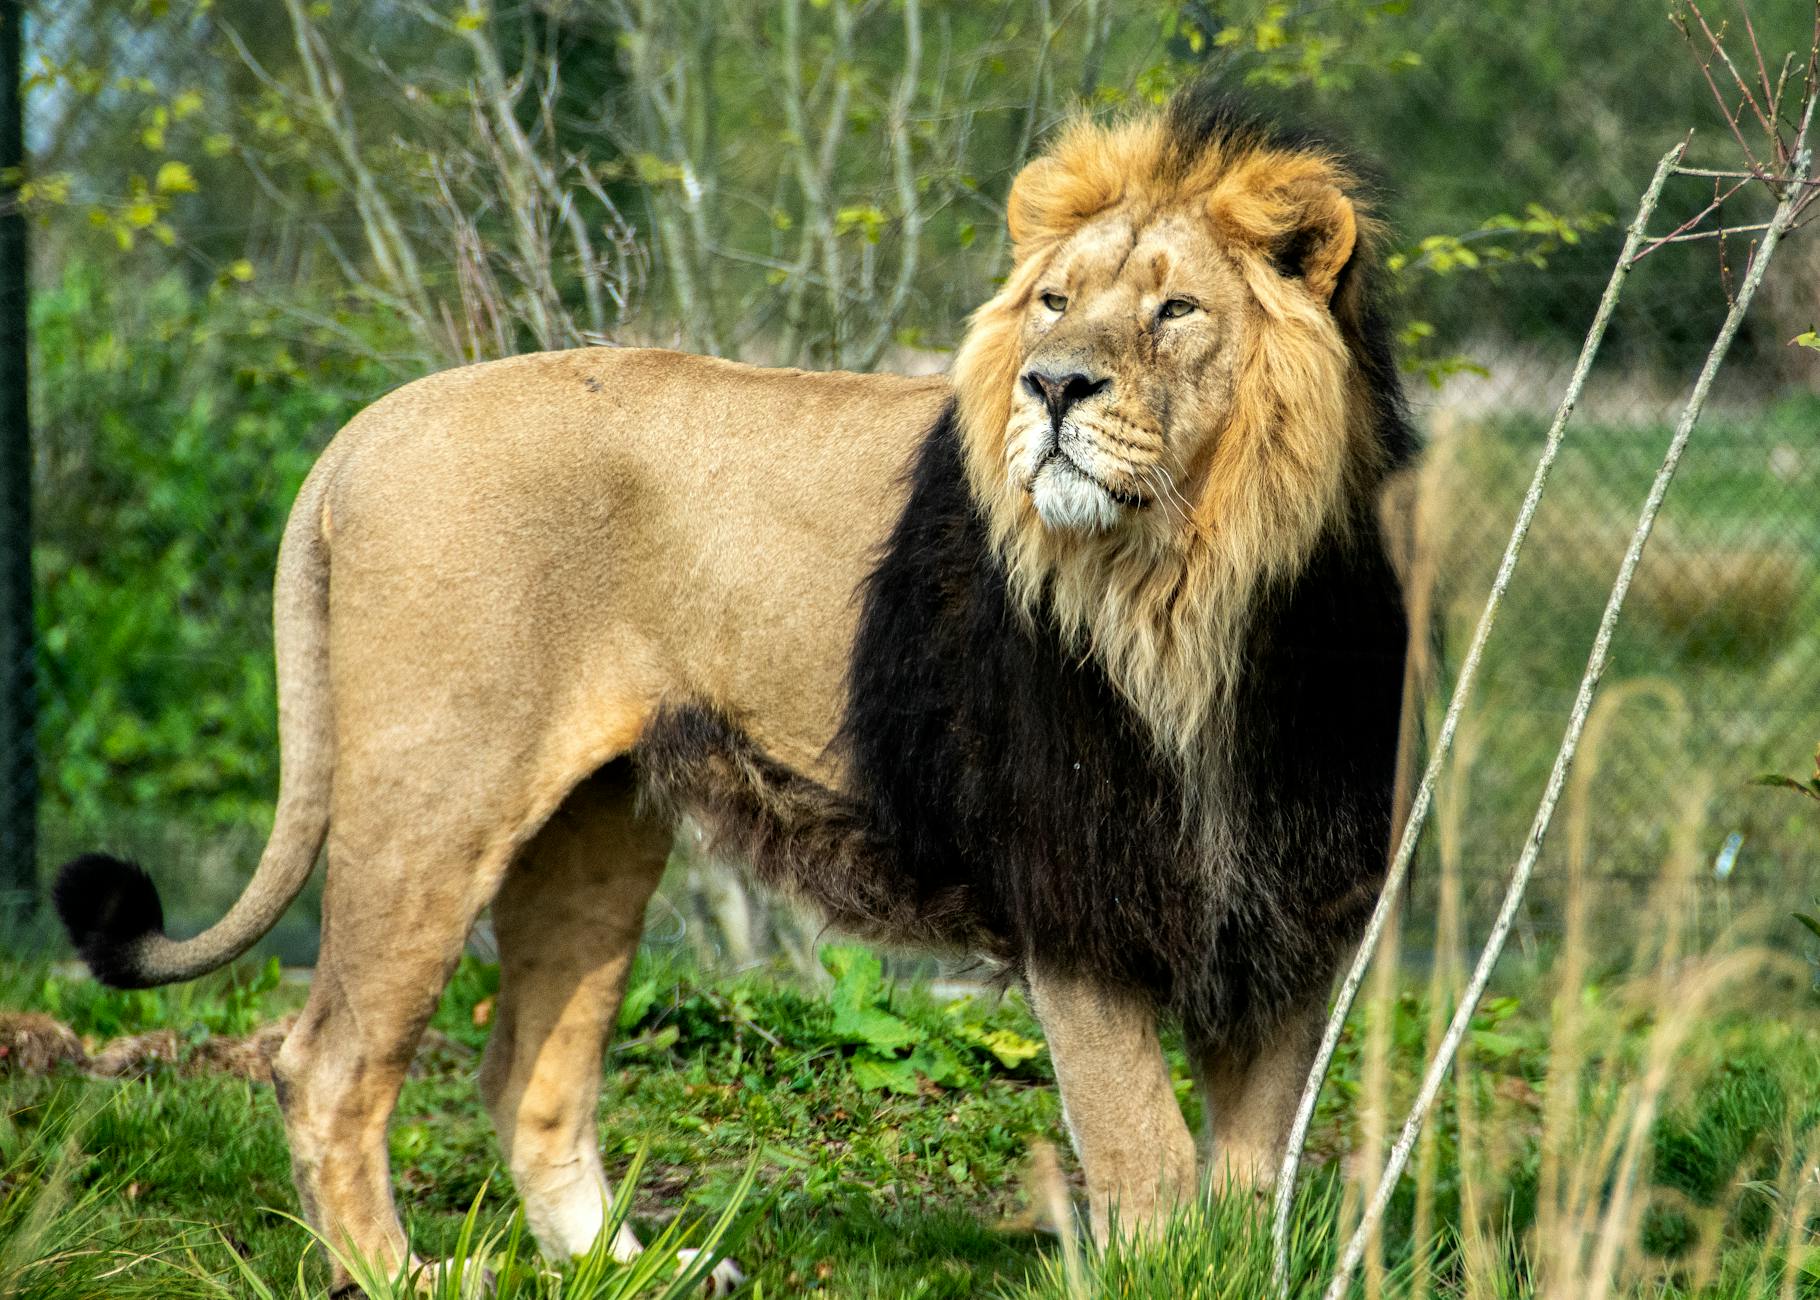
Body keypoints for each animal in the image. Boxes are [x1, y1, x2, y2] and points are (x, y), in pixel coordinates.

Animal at [55, 88, 1414, 1293]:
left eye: (1176, 308)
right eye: (1053, 304)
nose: (1053, 386)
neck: (1199, 588)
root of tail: (366, 426)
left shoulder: (1289, 905)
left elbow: (1254, 1170)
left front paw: (1243, 1263)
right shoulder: (1071, 890)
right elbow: (1147, 1158)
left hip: (594, 829)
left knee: (527, 1074)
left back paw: (630, 1267)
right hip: (433, 794)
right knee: (328, 1059)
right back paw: (405, 1276)